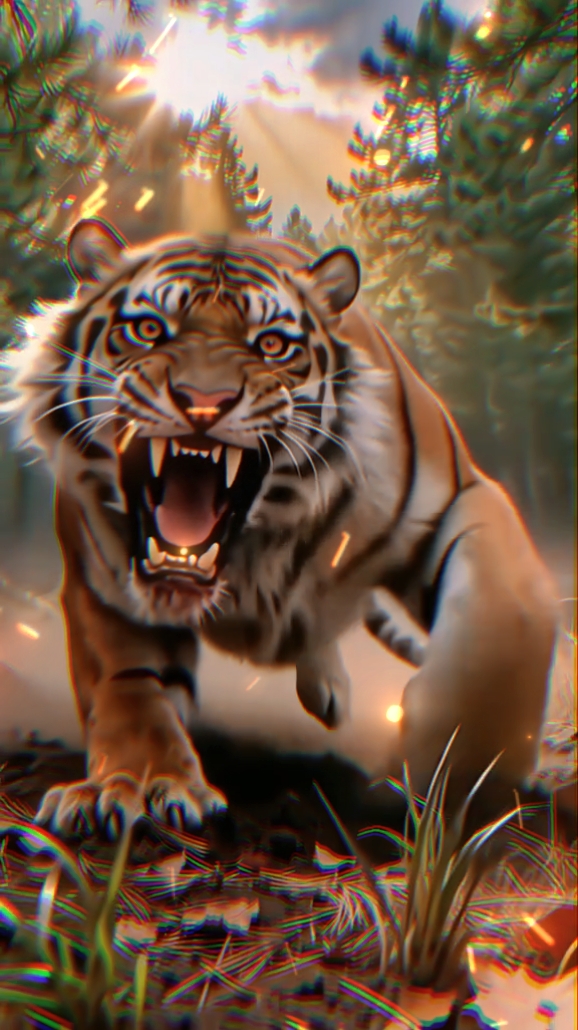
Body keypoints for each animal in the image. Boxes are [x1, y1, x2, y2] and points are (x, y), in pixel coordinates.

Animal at [5, 217, 557, 837]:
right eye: (148, 330)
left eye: (270, 344)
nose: (203, 402)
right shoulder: (105, 578)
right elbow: (129, 681)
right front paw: (135, 784)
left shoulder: (462, 498)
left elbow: (501, 629)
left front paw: (464, 792)